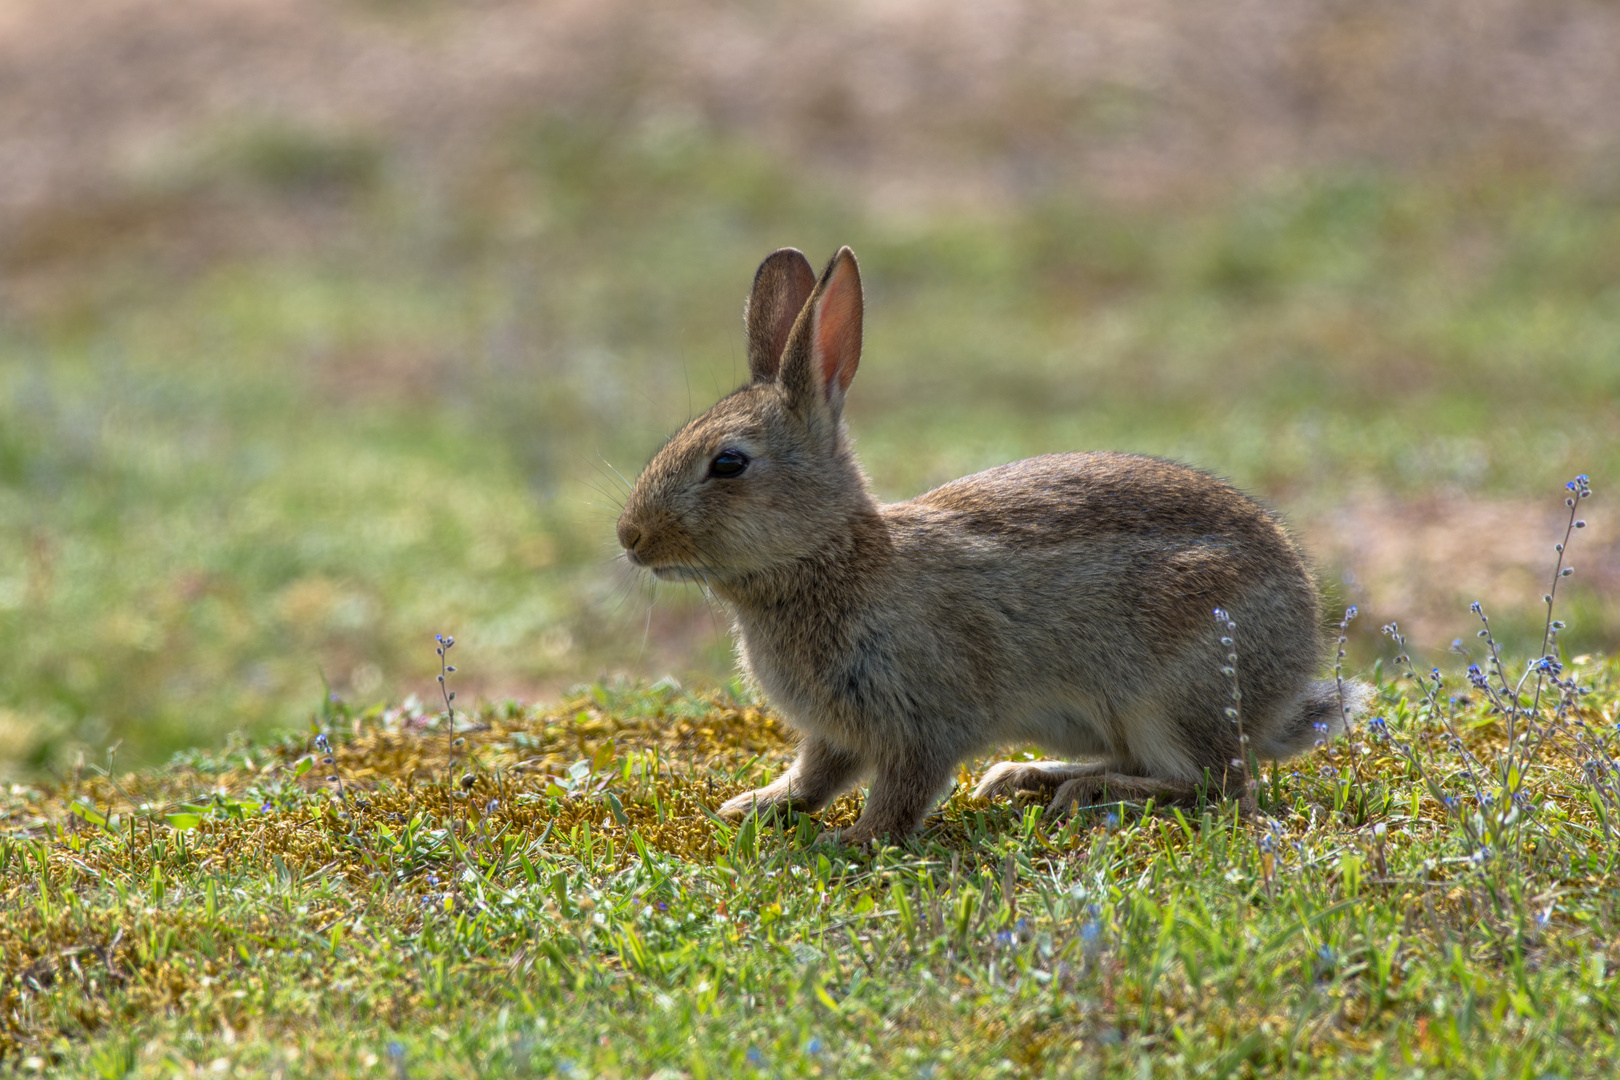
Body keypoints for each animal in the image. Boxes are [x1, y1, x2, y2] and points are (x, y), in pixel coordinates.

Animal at [618, 244, 1367, 841]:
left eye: (729, 464)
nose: (630, 538)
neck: (833, 559)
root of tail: (1289, 679)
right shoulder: (836, 728)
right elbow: (814, 775)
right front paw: (754, 806)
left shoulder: (921, 716)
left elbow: (903, 790)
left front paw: (855, 841)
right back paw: (1025, 776)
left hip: (1176, 687)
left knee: (1219, 784)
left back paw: (1083, 790)